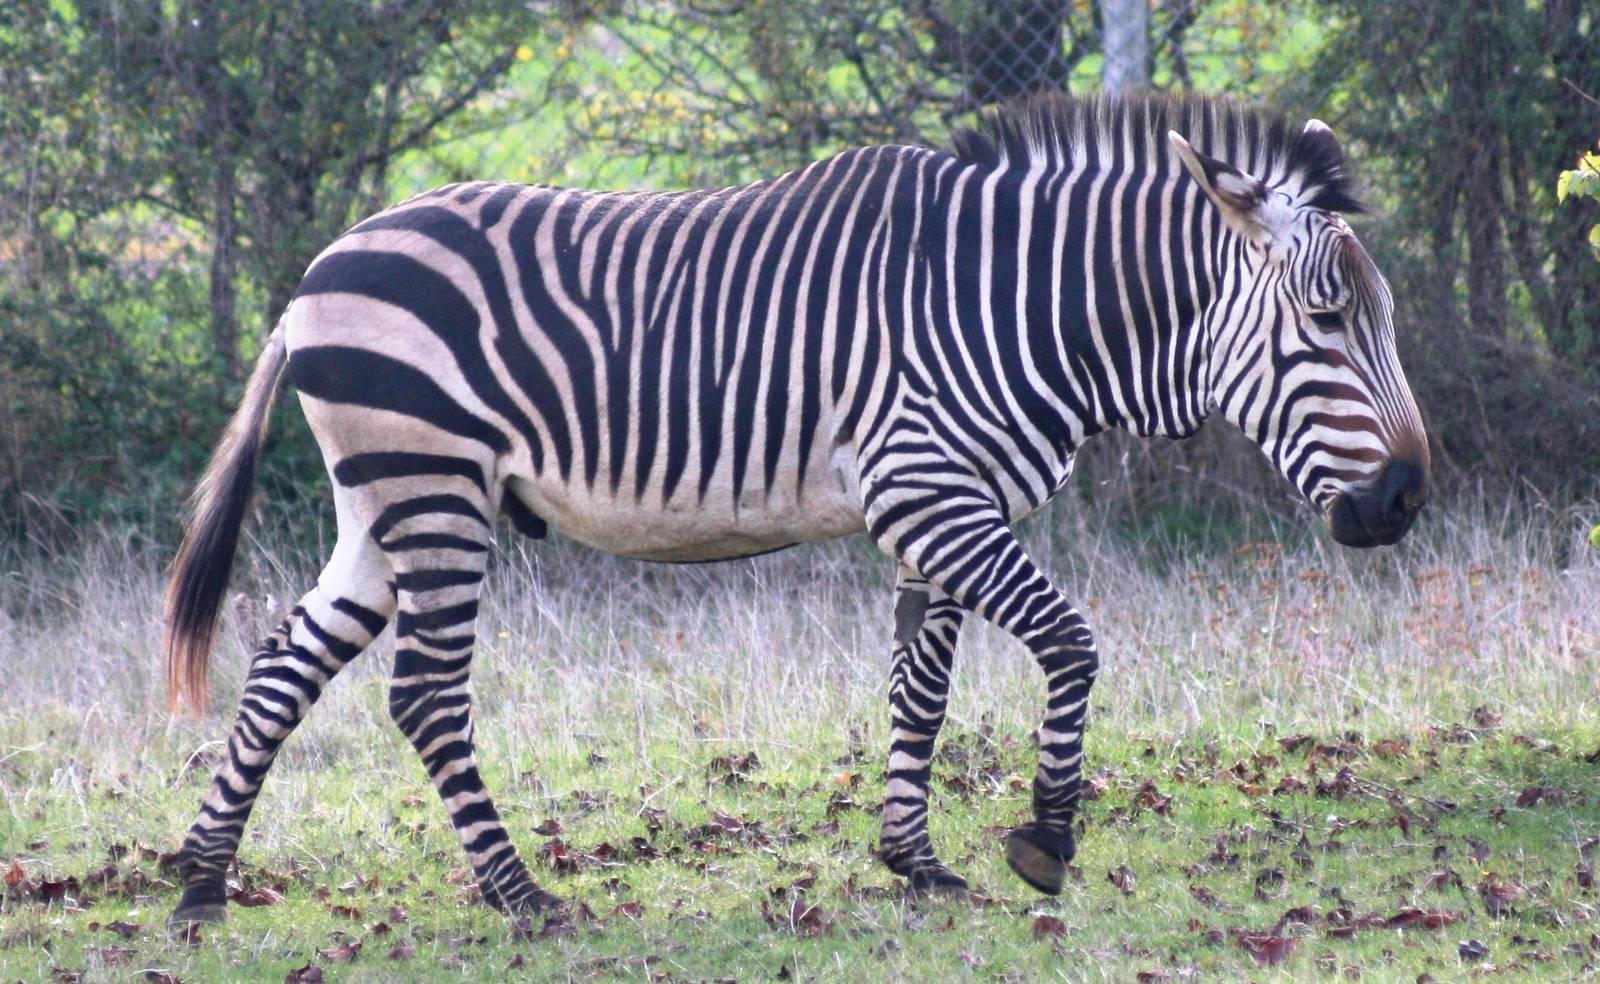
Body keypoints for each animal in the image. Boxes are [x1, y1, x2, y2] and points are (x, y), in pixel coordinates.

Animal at [162, 92, 1429, 925]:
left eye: (1376, 319)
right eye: (1325, 321)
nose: (1406, 498)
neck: (1020, 305)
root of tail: (312, 282)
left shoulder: (940, 512)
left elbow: (920, 690)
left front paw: (915, 861)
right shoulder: (929, 498)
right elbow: (1071, 644)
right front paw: (1043, 840)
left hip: (383, 504)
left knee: (281, 662)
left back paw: (202, 880)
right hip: (434, 489)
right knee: (424, 694)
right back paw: (524, 897)